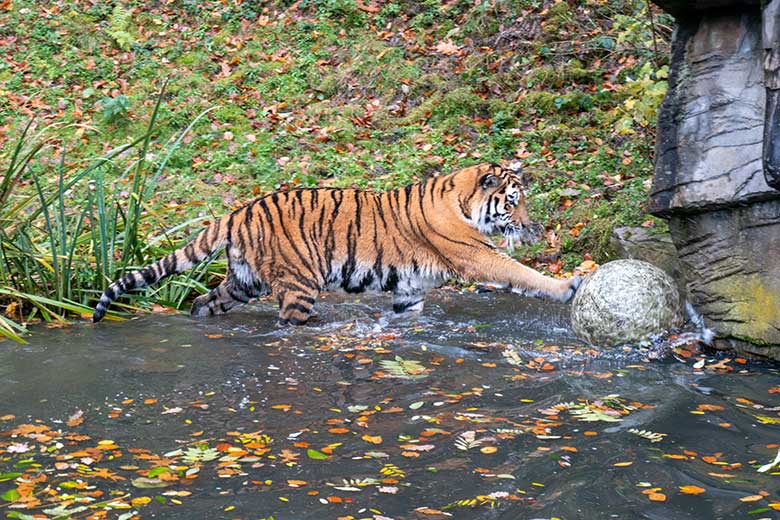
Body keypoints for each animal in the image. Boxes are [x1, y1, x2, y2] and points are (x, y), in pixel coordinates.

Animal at [93, 162, 580, 324]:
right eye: (513, 202)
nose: (531, 227)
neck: (461, 200)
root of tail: (238, 211)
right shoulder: (476, 255)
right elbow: (522, 273)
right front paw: (568, 286)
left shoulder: (409, 291)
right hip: (298, 283)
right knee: (288, 322)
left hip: (243, 282)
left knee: (203, 302)